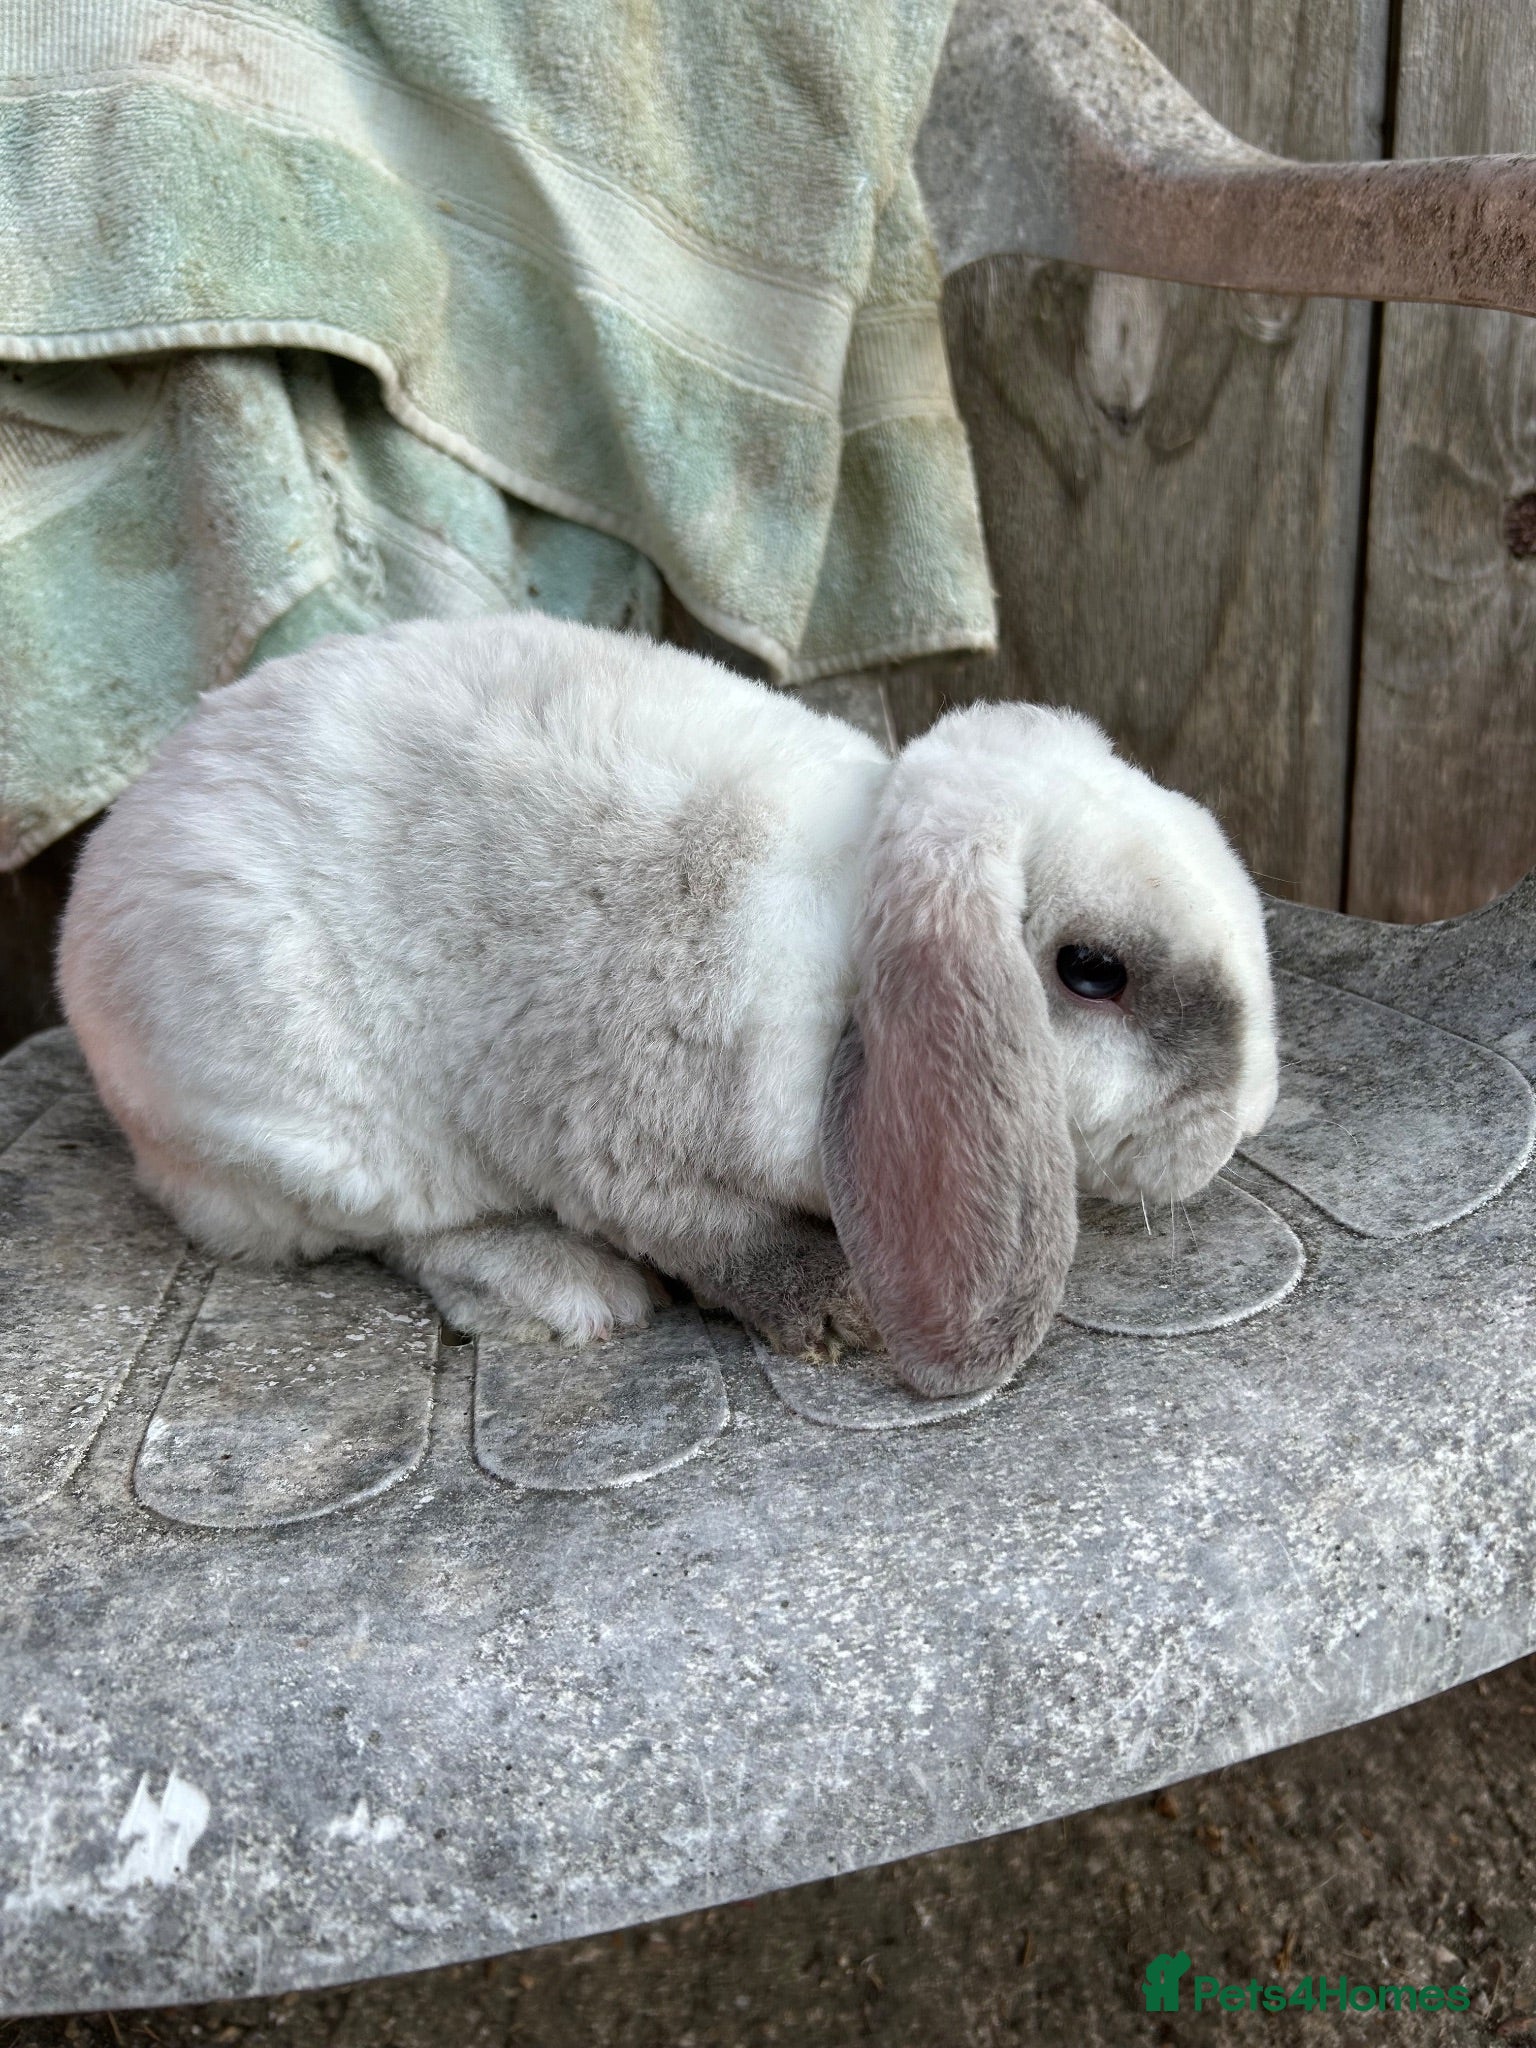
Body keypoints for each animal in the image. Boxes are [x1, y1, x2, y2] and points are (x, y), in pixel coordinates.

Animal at [58, 611, 1279, 1398]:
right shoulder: (631, 1152)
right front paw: (833, 1310)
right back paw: (570, 1290)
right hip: (316, 1135)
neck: (851, 963)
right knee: (409, 1233)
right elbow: (714, 1236)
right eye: (1093, 970)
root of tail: (97, 885)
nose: (1250, 1115)